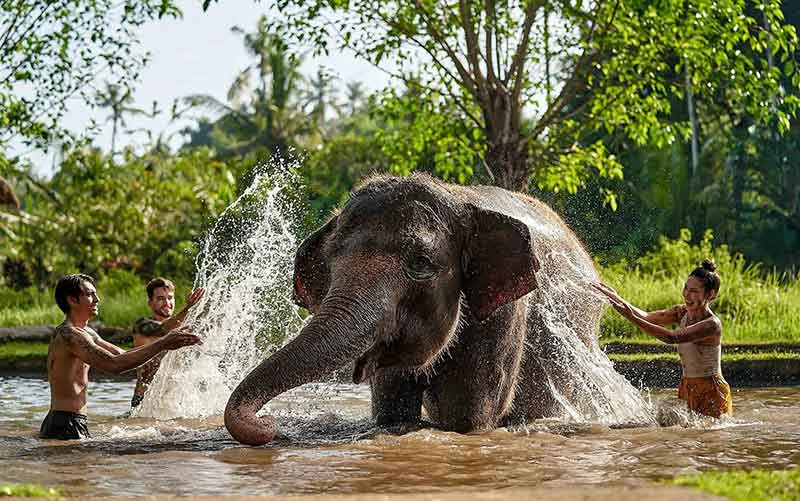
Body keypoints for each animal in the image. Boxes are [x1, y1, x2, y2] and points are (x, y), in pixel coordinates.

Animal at [224, 173, 611, 445]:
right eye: (330, 260)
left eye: (421, 263)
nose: (270, 423)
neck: (460, 197)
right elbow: (393, 408)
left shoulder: (505, 315)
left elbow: (467, 416)